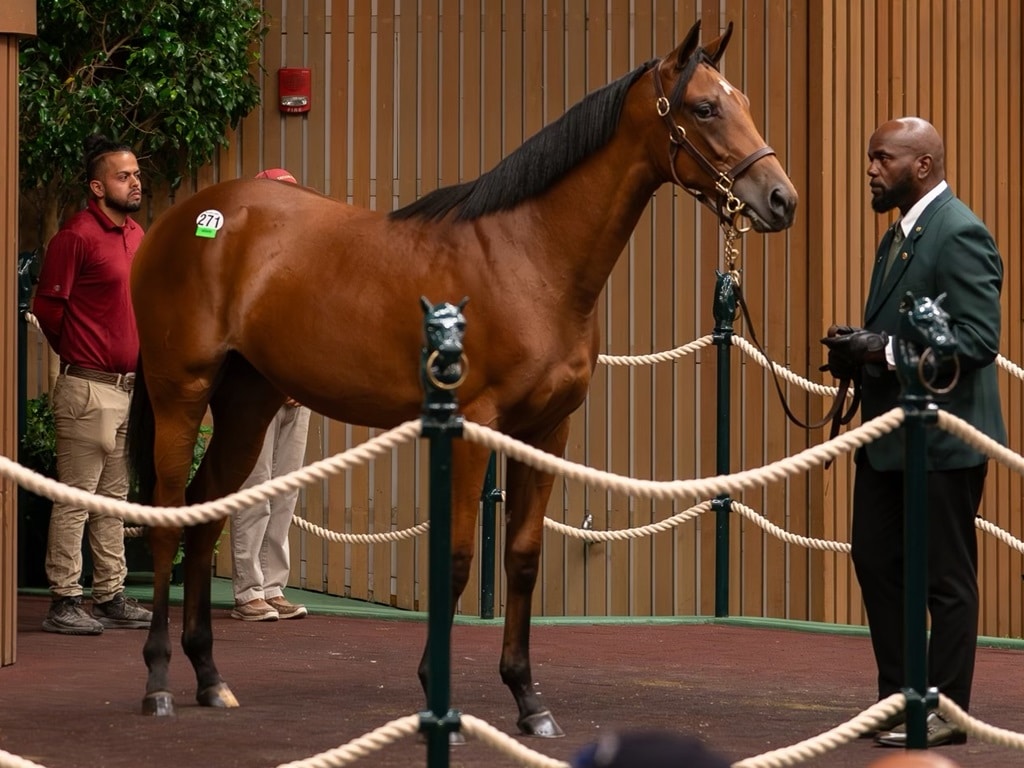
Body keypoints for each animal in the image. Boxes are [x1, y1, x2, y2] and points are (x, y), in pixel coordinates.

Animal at [128, 19, 794, 741]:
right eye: (704, 107)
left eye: (745, 100)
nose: (780, 199)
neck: (530, 256)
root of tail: (186, 219)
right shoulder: (474, 428)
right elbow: (455, 558)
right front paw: (436, 688)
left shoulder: (547, 431)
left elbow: (523, 557)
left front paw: (528, 698)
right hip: (181, 392)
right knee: (166, 518)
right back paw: (158, 682)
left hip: (248, 402)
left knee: (204, 513)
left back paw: (209, 678)